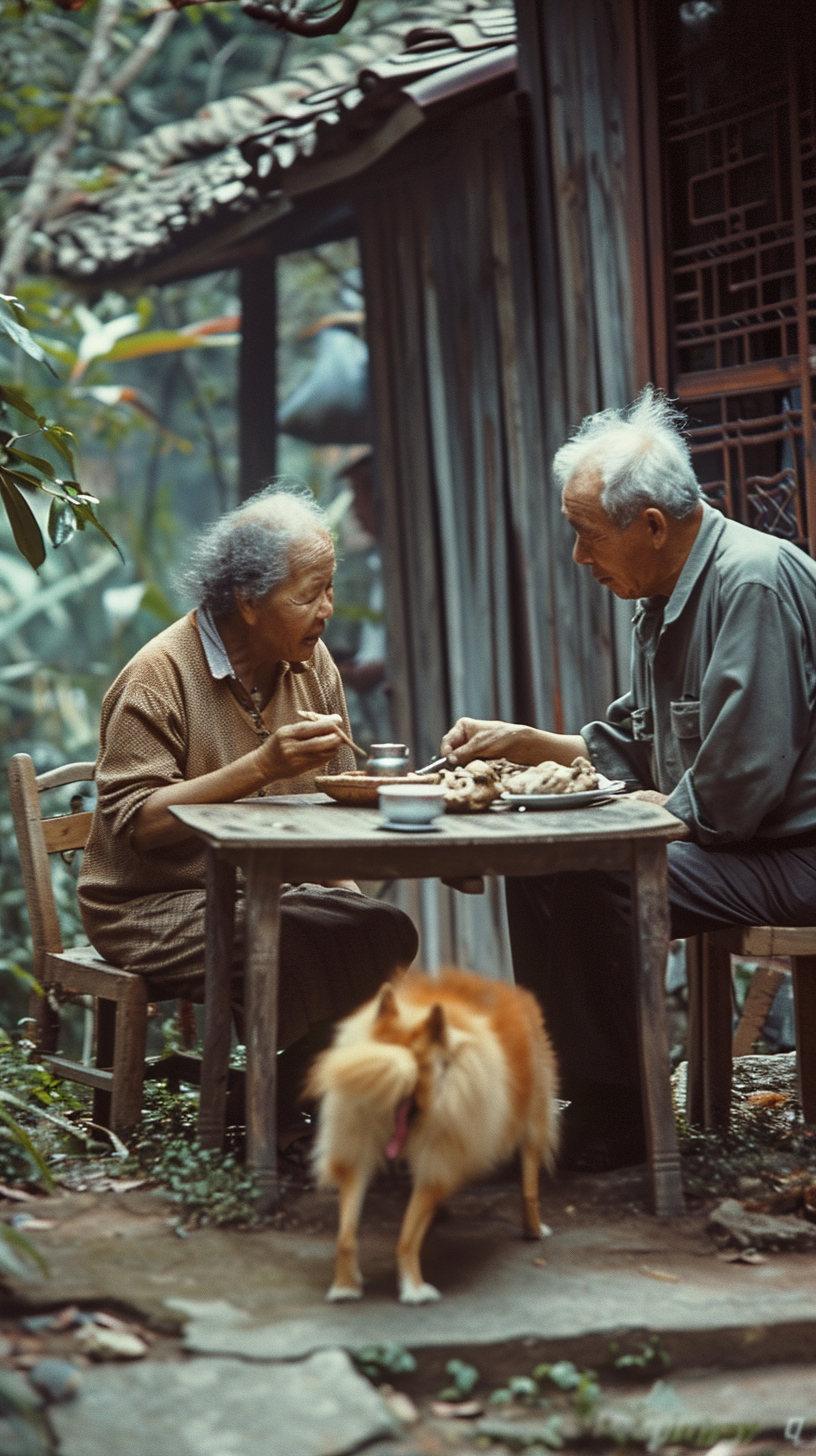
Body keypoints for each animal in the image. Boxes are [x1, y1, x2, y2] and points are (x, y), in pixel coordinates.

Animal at [306, 972, 559, 1304]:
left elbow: (364, 1235)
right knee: (529, 1189)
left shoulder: (433, 1159)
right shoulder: (435, 1160)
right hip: (533, 1122)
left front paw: (357, 1286)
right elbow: (405, 1238)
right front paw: (414, 1289)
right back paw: (533, 1230)